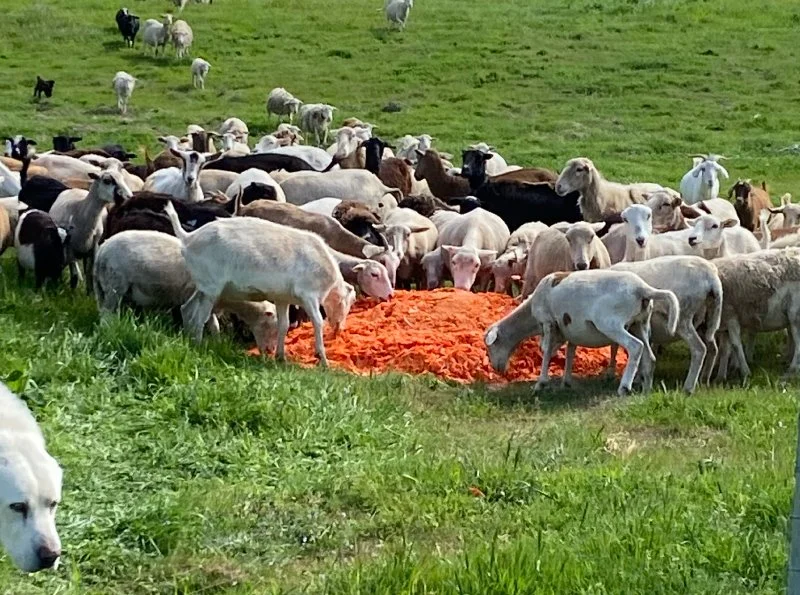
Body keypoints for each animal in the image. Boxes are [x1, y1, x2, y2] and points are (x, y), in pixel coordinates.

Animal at [163, 201, 357, 366]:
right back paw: (198, 344)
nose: (339, 329)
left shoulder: (283, 298)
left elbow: (284, 324)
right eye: (351, 302)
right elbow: (317, 321)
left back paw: (188, 339)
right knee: (199, 316)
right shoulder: (309, 295)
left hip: (203, 285)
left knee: (187, 308)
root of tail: (188, 237)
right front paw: (322, 358)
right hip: (211, 287)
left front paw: (281, 357)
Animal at [485, 270, 679, 396]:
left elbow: (546, 352)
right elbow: (571, 351)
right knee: (649, 356)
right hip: (640, 324)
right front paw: (566, 382)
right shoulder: (570, 328)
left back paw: (624, 387)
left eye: (491, 346)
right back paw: (646, 390)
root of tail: (642, 289)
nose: (497, 369)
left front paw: (541, 384)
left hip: (611, 323)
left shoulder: (548, 322)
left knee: (635, 347)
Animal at [610, 256, 722, 393]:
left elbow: (616, 348)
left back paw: (688, 388)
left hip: (683, 317)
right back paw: (704, 380)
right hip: (706, 319)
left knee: (699, 349)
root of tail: (711, 277)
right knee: (713, 348)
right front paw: (638, 379)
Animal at [713, 249, 800, 382]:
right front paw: (721, 377)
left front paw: (745, 372)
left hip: (795, 314)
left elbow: (736, 345)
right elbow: (724, 350)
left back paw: (791, 371)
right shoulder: (725, 322)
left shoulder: (732, 317)